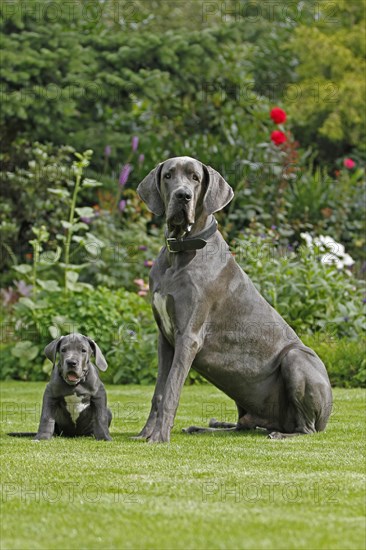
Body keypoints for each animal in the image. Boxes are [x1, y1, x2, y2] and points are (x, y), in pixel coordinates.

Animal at [137, 155, 332, 444]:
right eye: (168, 175)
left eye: (195, 178)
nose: (183, 195)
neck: (180, 253)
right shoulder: (165, 338)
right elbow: (159, 391)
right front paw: (145, 433)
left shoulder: (188, 337)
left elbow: (172, 389)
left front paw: (159, 436)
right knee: (244, 426)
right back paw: (207, 427)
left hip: (297, 358)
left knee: (306, 429)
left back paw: (280, 435)